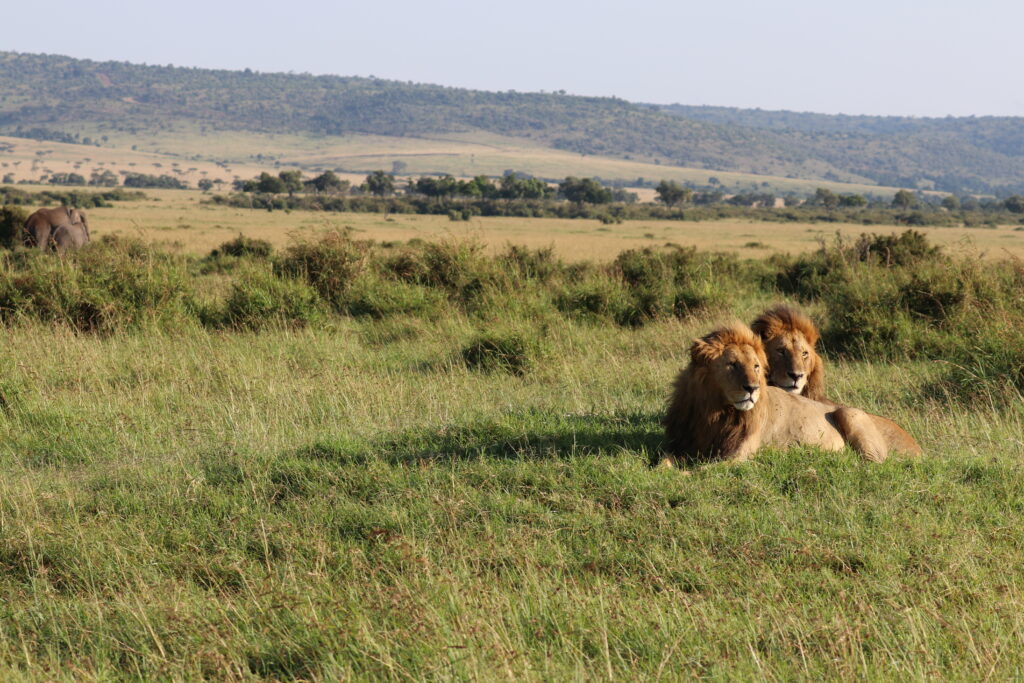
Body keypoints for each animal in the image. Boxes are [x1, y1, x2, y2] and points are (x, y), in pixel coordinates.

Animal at [663, 325, 921, 464]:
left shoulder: (739, 455)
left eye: (756, 367)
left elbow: (699, 471)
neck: (715, 412)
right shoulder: (683, 446)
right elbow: (664, 463)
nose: (752, 389)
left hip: (851, 415)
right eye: (732, 365)